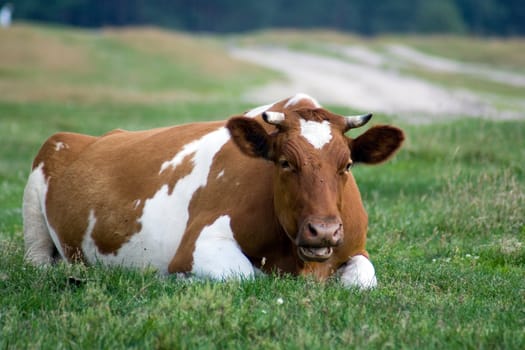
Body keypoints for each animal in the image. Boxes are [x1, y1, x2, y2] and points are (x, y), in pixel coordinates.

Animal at [22, 93, 404, 290]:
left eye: (347, 165)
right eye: (285, 163)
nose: (322, 230)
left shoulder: (357, 247)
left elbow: (363, 279)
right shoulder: (197, 242)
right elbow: (243, 275)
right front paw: (180, 280)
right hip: (35, 199)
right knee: (38, 261)